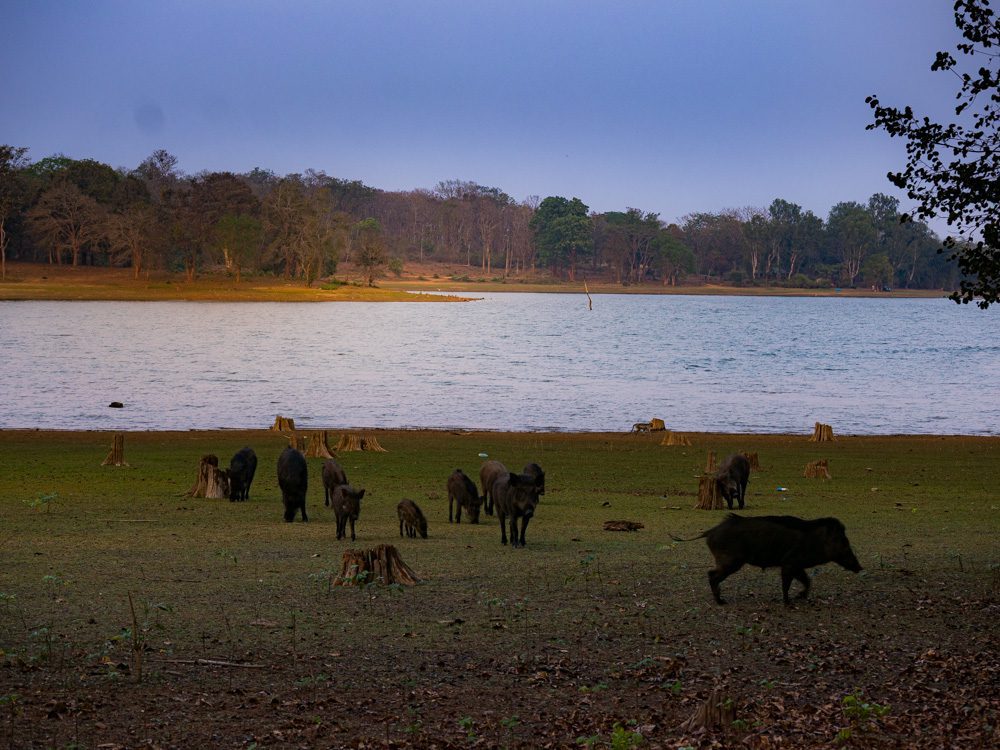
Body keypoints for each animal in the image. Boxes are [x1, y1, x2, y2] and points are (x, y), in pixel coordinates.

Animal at [688, 514, 862, 605]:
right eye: (843, 542)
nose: (860, 567)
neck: (816, 541)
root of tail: (710, 532)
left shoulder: (797, 566)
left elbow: (807, 581)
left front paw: (800, 596)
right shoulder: (789, 563)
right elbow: (786, 584)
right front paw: (788, 602)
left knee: (711, 574)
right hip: (731, 562)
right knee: (712, 575)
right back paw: (721, 601)